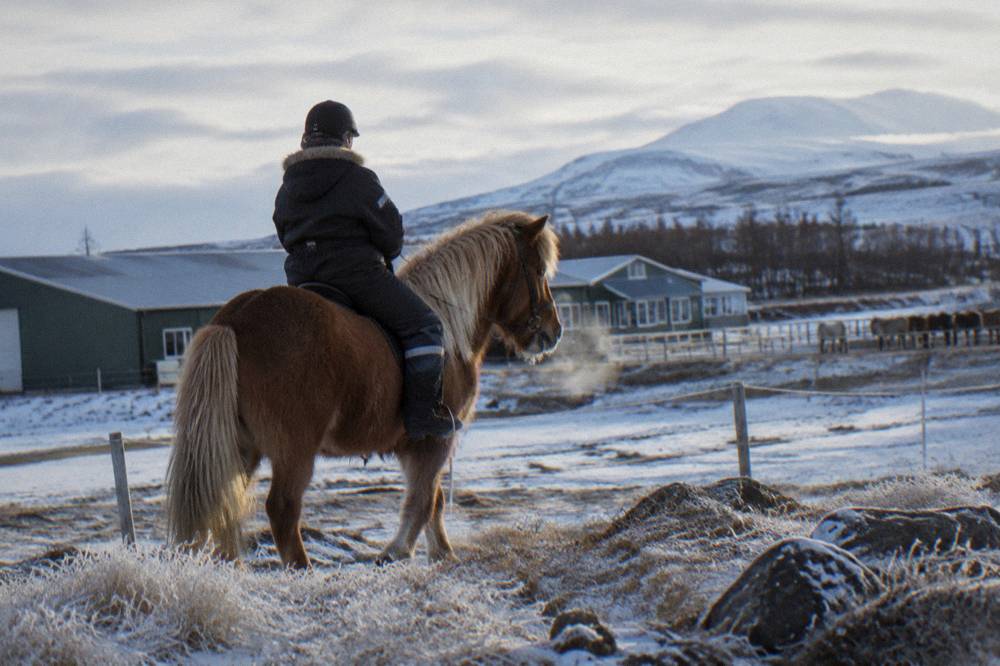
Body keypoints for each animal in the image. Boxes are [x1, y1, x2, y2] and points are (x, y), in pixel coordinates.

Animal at [165, 211, 562, 568]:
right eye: (539, 271)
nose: (553, 332)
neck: (450, 330)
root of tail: (235, 320)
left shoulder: (415, 446)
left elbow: (433, 499)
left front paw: (441, 553)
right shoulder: (437, 438)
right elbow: (422, 499)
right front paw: (398, 550)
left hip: (239, 446)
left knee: (219, 501)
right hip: (294, 450)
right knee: (281, 509)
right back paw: (302, 570)